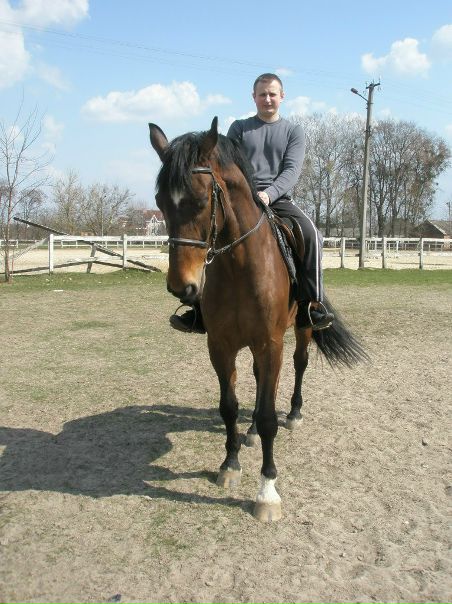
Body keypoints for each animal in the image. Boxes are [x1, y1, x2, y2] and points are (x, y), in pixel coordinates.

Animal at [149, 117, 368, 522]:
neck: (239, 266)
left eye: (200, 201)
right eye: (160, 203)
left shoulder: (270, 343)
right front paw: (230, 465)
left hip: (302, 328)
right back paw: (249, 433)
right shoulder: (220, 345)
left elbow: (268, 416)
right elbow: (229, 407)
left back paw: (293, 414)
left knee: (299, 365)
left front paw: (267, 491)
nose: (181, 287)